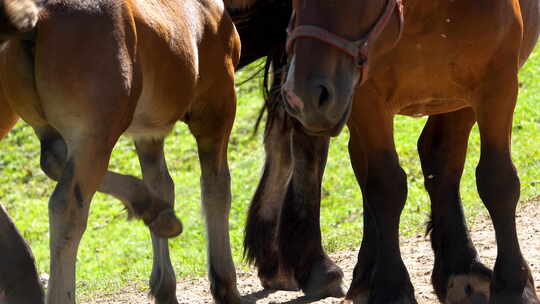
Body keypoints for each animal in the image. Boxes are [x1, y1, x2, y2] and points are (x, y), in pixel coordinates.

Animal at [0, 0, 240, 304]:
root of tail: (35, 17)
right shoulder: (216, 105)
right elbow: (216, 188)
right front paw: (226, 286)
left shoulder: (148, 132)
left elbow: (162, 184)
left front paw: (164, 287)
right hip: (96, 134)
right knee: (67, 209)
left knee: (53, 161)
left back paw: (154, 211)